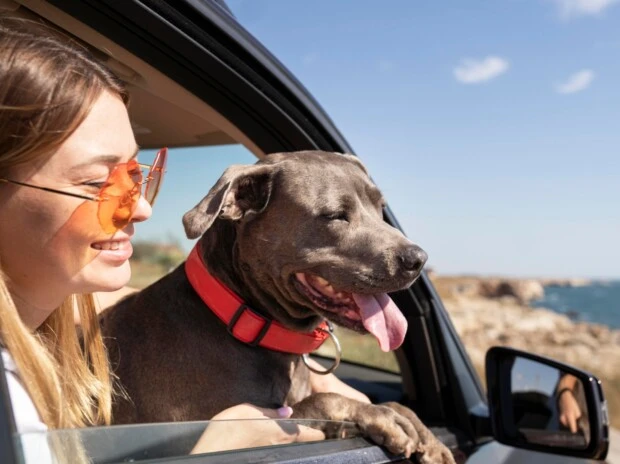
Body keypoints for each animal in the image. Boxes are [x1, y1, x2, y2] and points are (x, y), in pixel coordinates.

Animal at [100, 151, 455, 463]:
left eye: (380, 207)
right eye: (334, 215)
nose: (418, 259)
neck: (240, 318)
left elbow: (396, 404)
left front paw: (426, 435)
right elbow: (324, 399)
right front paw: (380, 415)